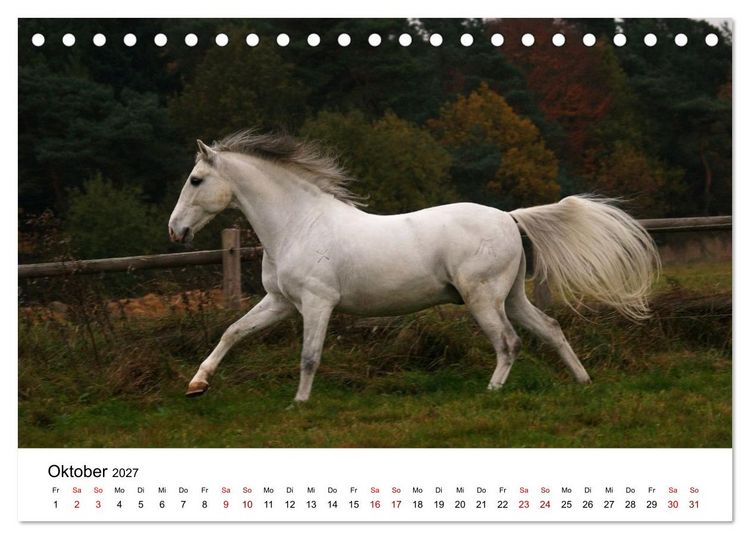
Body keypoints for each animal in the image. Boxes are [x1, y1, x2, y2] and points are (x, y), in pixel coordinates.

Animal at [168, 131, 660, 403]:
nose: (176, 231)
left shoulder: (317, 303)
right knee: (550, 329)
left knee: (509, 343)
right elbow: (232, 332)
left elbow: (309, 356)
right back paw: (583, 382)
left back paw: (491, 393)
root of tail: (509, 217)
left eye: (195, 179)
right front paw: (196, 384)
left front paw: (300, 403)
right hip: (512, 296)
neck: (298, 224)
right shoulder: (280, 302)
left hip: (483, 297)